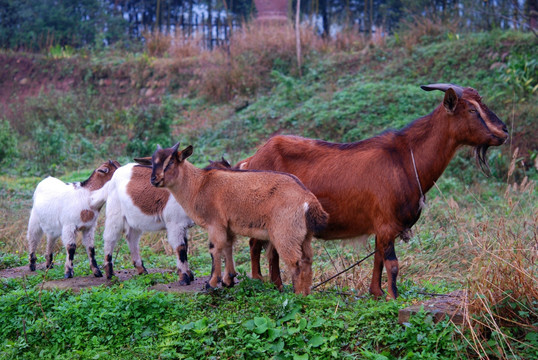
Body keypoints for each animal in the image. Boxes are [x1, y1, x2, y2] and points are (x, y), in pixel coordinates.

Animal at [239, 83, 506, 298]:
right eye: (472, 110)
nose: (503, 132)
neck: (405, 160)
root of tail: (252, 159)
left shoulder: (382, 224)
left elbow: (378, 258)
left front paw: (376, 293)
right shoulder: (387, 222)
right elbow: (393, 263)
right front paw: (393, 298)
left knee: (271, 249)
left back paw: (277, 285)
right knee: (255, 244)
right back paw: (259, 281)